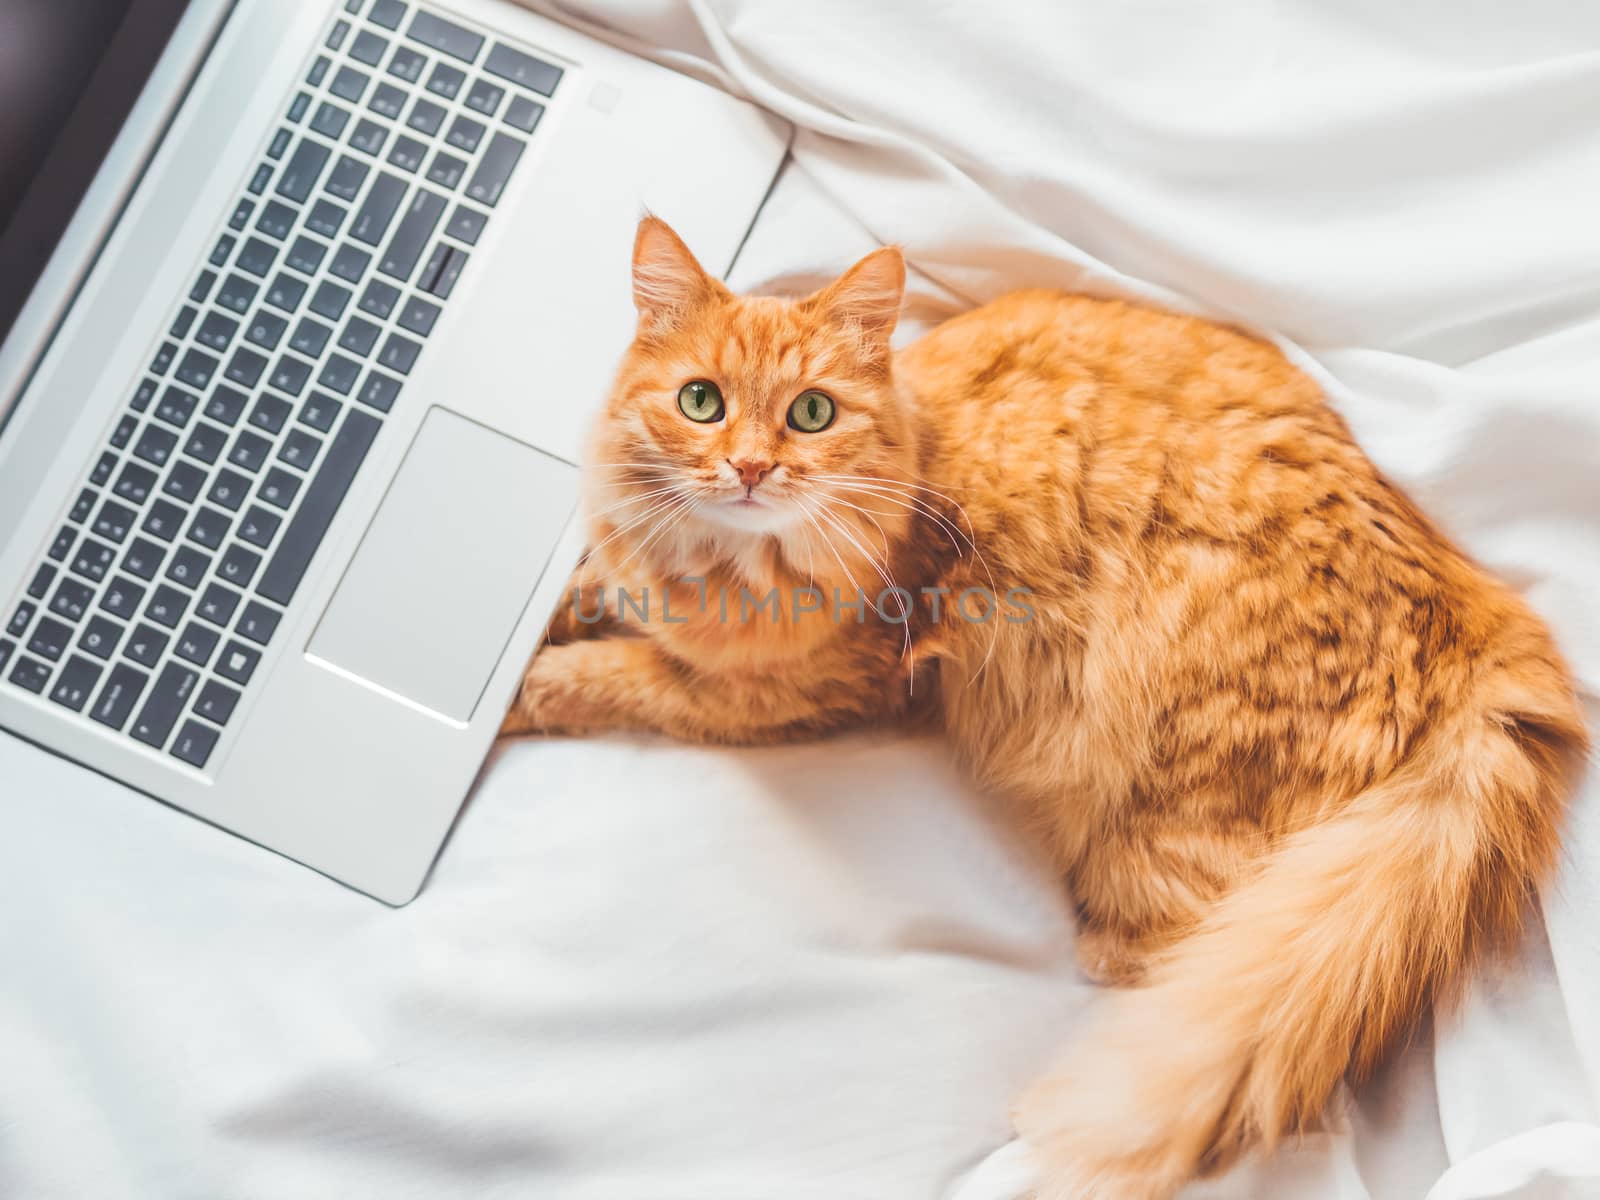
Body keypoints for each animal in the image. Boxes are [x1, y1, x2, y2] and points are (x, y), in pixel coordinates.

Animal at [502, 219, 1587, 1200]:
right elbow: (580, 594)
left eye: (811, 414)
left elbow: (607, 677)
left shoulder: (788, 691)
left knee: (1175, 954)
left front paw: (519, 698)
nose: (752, 470)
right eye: (701, 402)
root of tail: (1471, 604)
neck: (725, 572)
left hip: (1166, 822)